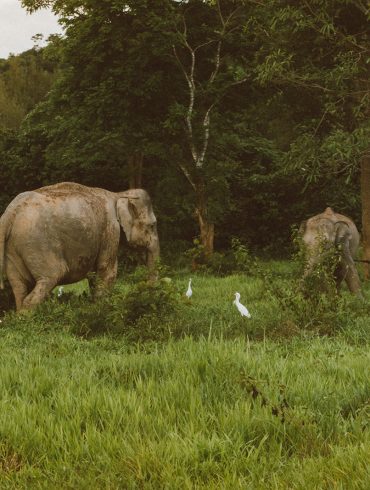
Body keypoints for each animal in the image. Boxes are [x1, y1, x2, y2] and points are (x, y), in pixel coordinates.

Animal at [0, 180, 159, 310]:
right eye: (152, 226)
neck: (120, 194)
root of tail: (10, 213)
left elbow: (95, 275)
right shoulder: (111, 228)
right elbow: (106, 270)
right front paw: (100, 309)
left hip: (13, 248)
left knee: (19, 287)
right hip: (38, 244)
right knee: (52, 276)